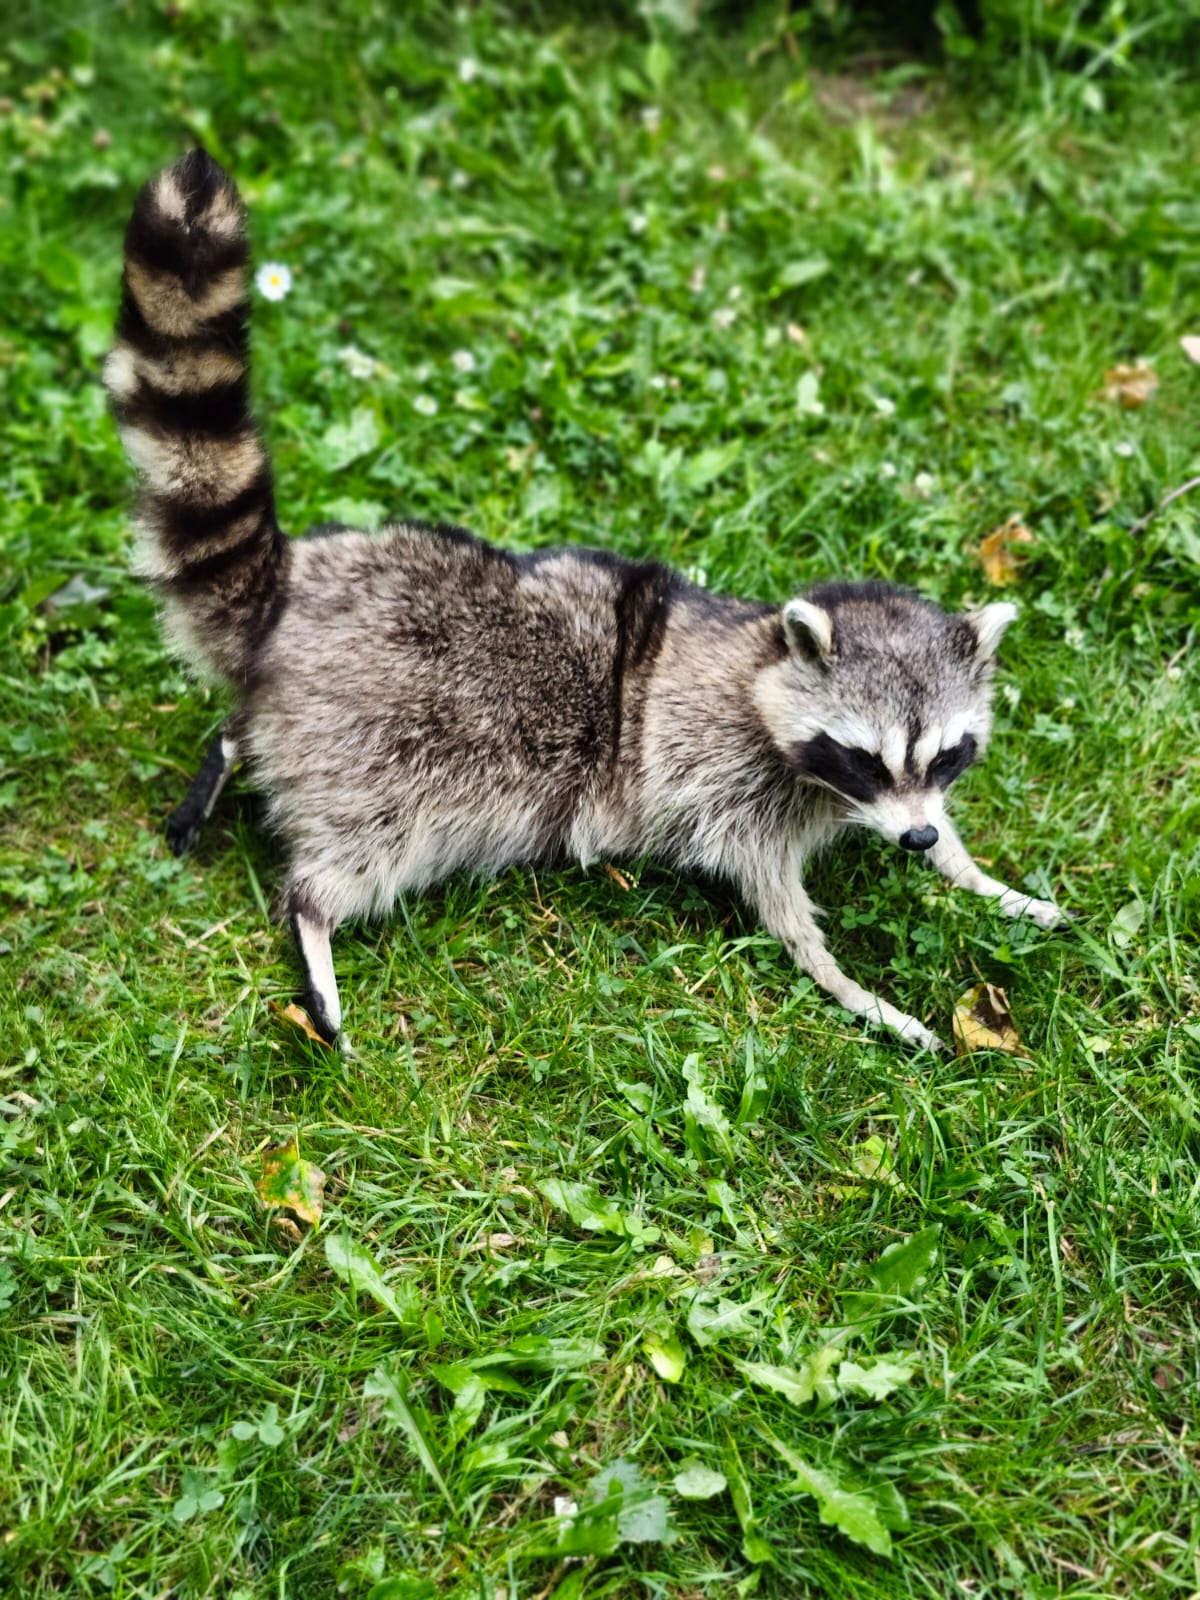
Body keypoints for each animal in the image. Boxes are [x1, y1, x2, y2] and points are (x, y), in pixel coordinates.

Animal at [105, 150, 1065, 1053]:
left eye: (946, 754)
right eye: (864, 757)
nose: (915, 842)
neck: (765, 669)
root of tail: (290, 593)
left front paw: (980, 877)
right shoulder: (723, 781)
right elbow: (778, 903)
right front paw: (857, 989)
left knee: (250, 734)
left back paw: (227, 749)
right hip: (387, 753)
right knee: (350, 856)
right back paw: (313, 927)